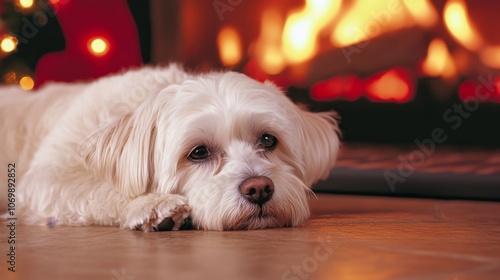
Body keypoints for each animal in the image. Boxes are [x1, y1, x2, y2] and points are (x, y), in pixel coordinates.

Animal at [0, 64, 340, 231]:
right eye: (199, 152)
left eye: (268, 140)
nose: (259, 188)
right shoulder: (47, 178)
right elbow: (100, 190)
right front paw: (151, 204)